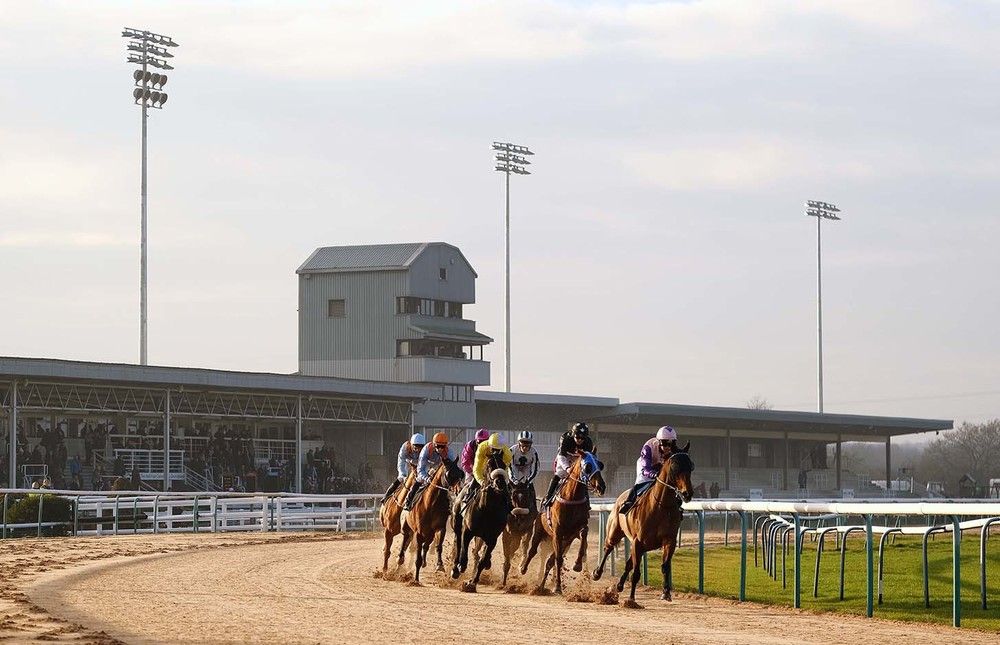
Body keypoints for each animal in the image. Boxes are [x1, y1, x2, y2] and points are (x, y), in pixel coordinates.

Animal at [398, 452, 464, 584]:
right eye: (449, 473)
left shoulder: (439, 528)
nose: (459, 490)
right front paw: (416, 579)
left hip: (429, 534)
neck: (430, 504)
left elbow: (439, 546)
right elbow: (417, 556)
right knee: (405, 539)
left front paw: (439, 565)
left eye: (460, 473)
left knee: (426, 545)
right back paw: (400, 558)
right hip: (407, 527)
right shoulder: (418, 533)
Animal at [520, 448, 604, 592]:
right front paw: (558, 587)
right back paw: (524, 568)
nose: (601, 486)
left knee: (549, 561)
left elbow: (583, 536)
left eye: (600, 464)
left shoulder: (575, 531)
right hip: (540, 531)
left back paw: (541, 586)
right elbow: (558, 559)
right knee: (533, 551)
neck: (572, 498)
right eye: (588, 466)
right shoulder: (558, 533)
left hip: (565, 541)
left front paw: (577, 565)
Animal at [588, 450, 692, 600]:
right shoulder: (638, 541)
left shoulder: (668, 541)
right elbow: (636, 572)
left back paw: (620, 585)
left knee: (628, 563)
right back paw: (597, 573)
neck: (661, 506)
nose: (687, 493)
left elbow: (665, 566)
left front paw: (666, 592)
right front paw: (631, 598)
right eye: (674, 467)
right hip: (615, 532)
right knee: (608, 547)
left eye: (691, 466)